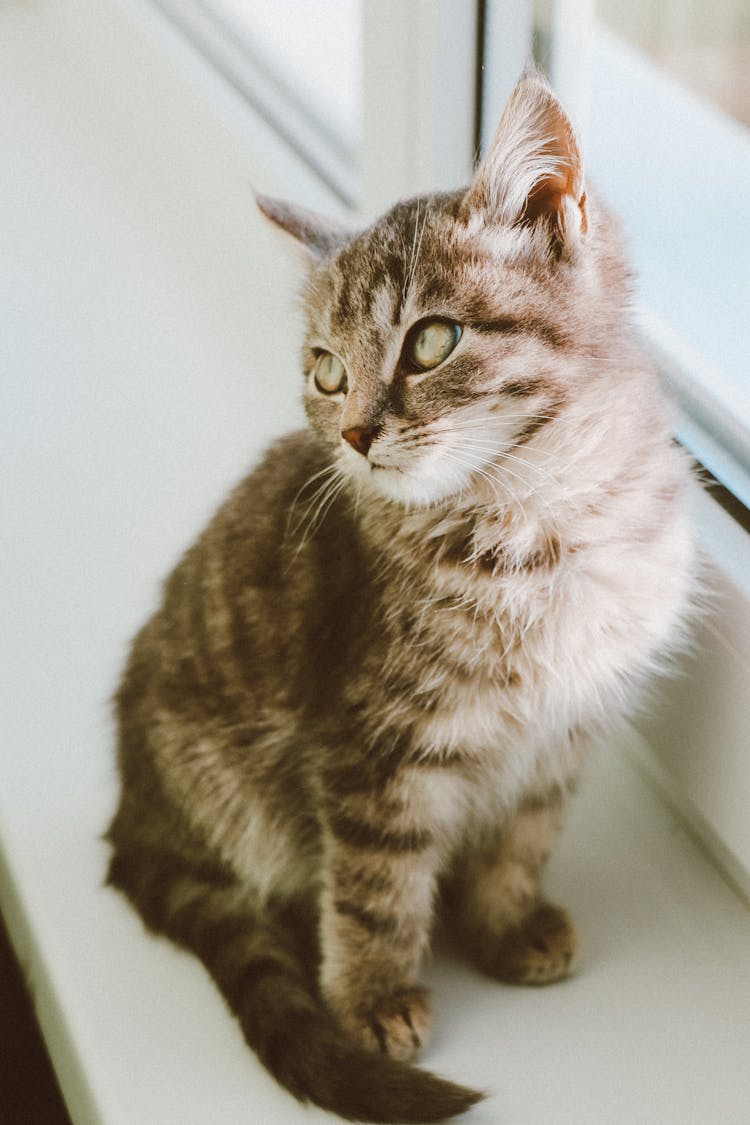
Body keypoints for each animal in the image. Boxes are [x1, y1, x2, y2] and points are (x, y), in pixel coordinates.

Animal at [105, 72, 697, 1125]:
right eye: (325, 368)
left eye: (431, 341)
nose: (351, 431)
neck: (545, 519)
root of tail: (135, 812)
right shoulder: (372, 746)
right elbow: (375, 887)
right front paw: (373, 999)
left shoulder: (565, 730)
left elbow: (524, 836)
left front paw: (504, 919)